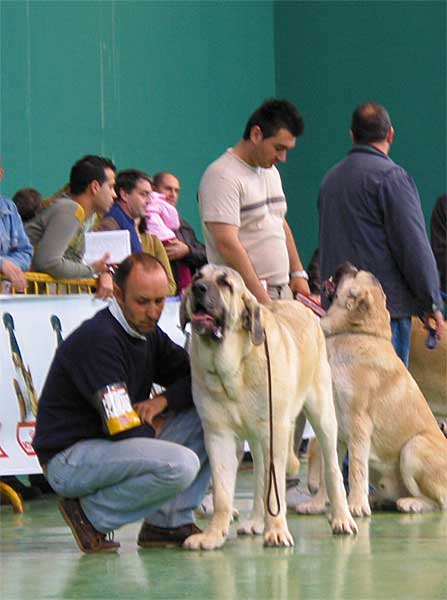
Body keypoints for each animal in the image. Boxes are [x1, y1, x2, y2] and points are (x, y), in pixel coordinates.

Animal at [179, 264, 356, 552]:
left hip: (322, 416)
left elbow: (275, 492)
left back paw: (342, 518)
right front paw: (214, 535)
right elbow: (223, 493)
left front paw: (277, 532)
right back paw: (255, 521)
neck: (233, 368)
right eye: (197, 277)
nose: (197, 289)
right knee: (261, 476)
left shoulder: (275, 432)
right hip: (258, 438)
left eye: (225, 283)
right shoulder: (218, 436)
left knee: (331, 468)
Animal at [304, 268, 447, 516]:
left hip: (413, 447)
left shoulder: (359, 423)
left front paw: (355, 505)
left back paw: (410, 503)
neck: (355, 332)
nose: (345, 265)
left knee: (440, 501)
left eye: (355, 274)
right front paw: (318, 504)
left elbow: (356, 469)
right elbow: (329, 470)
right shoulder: (335, 427)